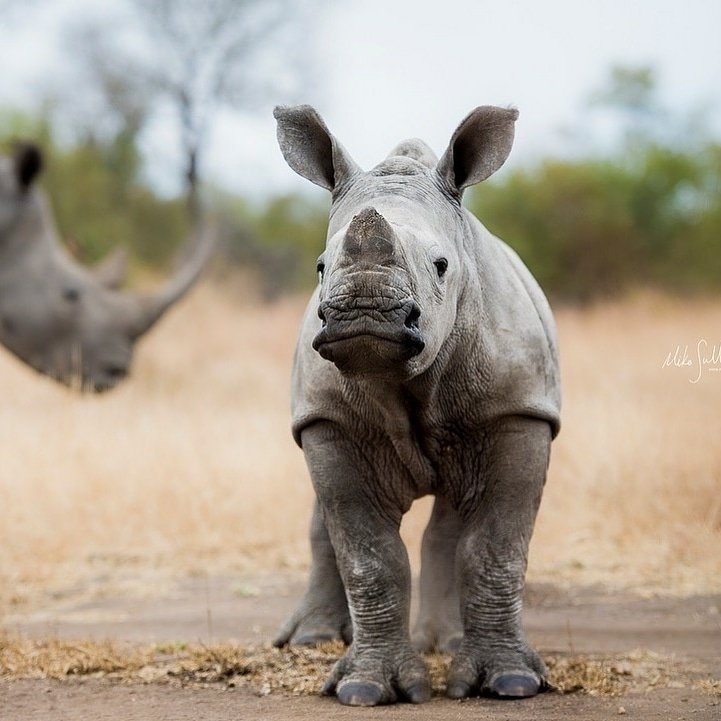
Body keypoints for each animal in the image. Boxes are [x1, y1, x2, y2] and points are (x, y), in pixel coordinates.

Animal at [272, 104, 560, 704]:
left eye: (442, 265)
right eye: (320, 267)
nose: (364, 314)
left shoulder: (520, 409)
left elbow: (496, 548)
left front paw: (512, 682)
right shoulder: (330, 420)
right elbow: (370, 557)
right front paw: (365, 688)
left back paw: (444, 644)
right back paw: (311, 640)